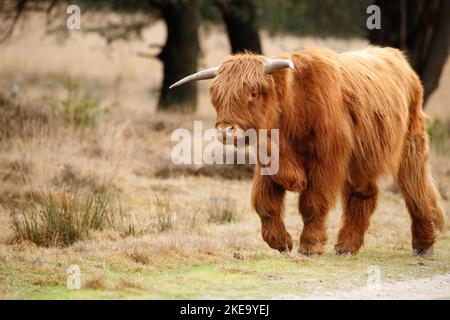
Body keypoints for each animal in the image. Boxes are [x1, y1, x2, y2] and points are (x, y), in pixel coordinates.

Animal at [170, 47, 446, 255]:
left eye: (253, 92)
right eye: (215, 95)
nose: (226, 131)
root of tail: (398, 58)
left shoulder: (326, 163)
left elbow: (313, 203)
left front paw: (310, 245)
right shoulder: (268, 163)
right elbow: (265, 204)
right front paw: (281, 242)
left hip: (411, 146)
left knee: (416, 190)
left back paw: (423, 245)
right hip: (362, 160)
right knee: (364, 193)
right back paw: (347, 246)